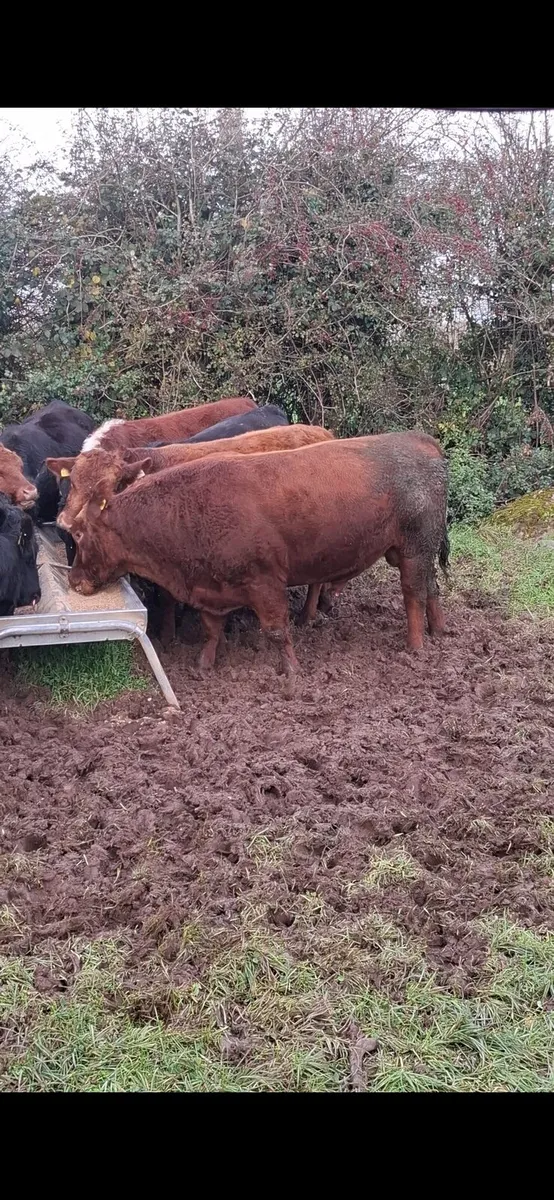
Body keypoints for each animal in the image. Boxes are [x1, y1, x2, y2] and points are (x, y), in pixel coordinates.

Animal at [66, 432, 449, 690]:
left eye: (80, 533)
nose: (73, 580)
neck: (187, 511)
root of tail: (418, 439)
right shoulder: (210, 586)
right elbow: (212, 629)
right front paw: (203, 664)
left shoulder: (264, 582)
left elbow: (277, 630)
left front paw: (292, 671)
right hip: (420, 548)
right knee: (432, 587)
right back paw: (440, 630)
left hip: (414, 547)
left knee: (413, 594)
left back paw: (415, 646)